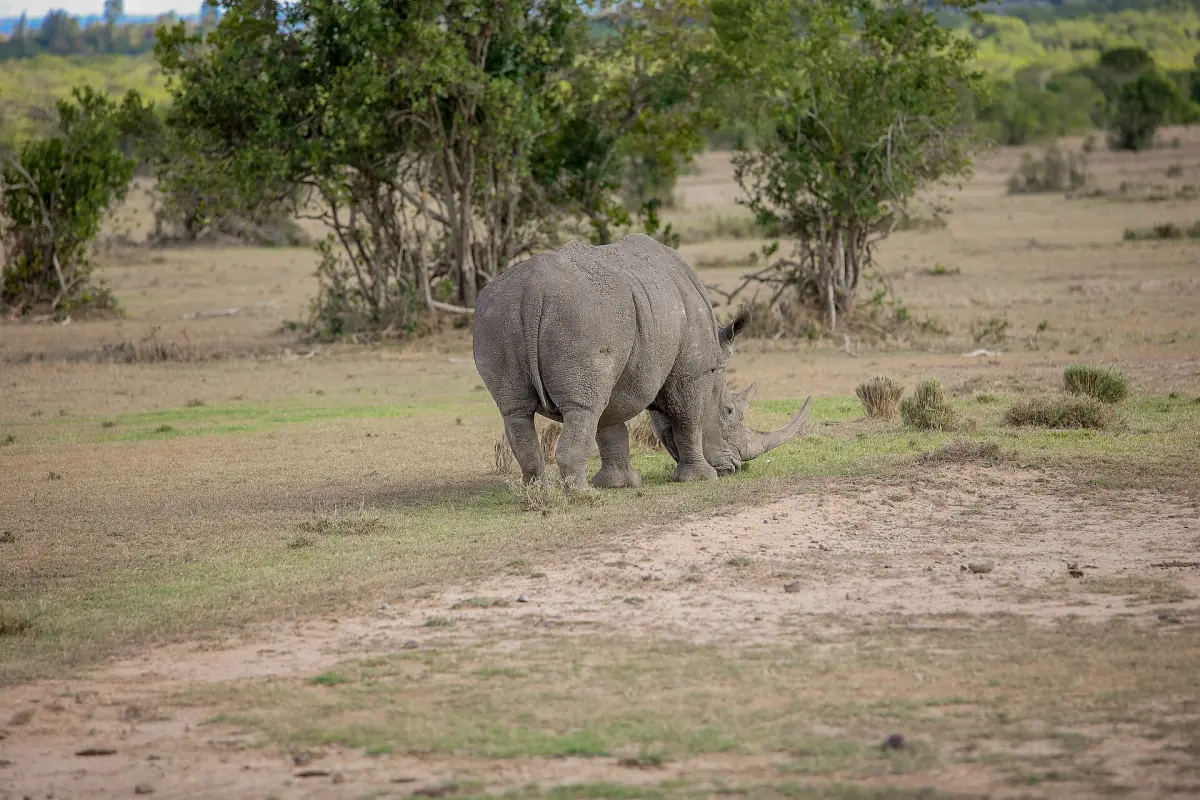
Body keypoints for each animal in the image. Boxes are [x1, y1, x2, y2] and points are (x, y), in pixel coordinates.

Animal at [472, 233, 813, 489]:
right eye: (729, 411)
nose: (736, 467)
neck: (714, 367)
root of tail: (533, 290)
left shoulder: (625, 373)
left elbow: (611, 425)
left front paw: (620, 484)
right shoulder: (692, 372)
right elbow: (688, 419)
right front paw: (702, 478)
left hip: (499, 314)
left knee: (517, 410)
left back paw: (539, 492)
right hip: (583, 316)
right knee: (583, 409)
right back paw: (581, 496)